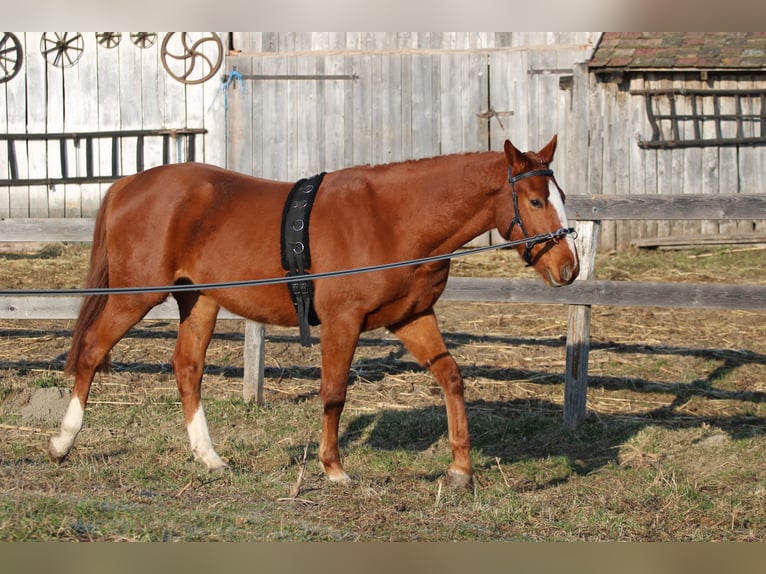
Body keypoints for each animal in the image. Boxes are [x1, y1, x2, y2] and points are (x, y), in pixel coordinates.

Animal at [51, 136, 580, 490]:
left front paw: (460, 471)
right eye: (535, 200)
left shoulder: (412, 318)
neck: (391, 218)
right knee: (92, 351)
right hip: (133, 296)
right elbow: (333, 393)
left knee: (187, 369)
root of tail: (128, 184)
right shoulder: (342, 323)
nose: (569, 267)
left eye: (561, 197)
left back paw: (210, 457)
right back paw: (62, 442)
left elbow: (451, 377)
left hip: (197, 301)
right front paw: (334, 468)